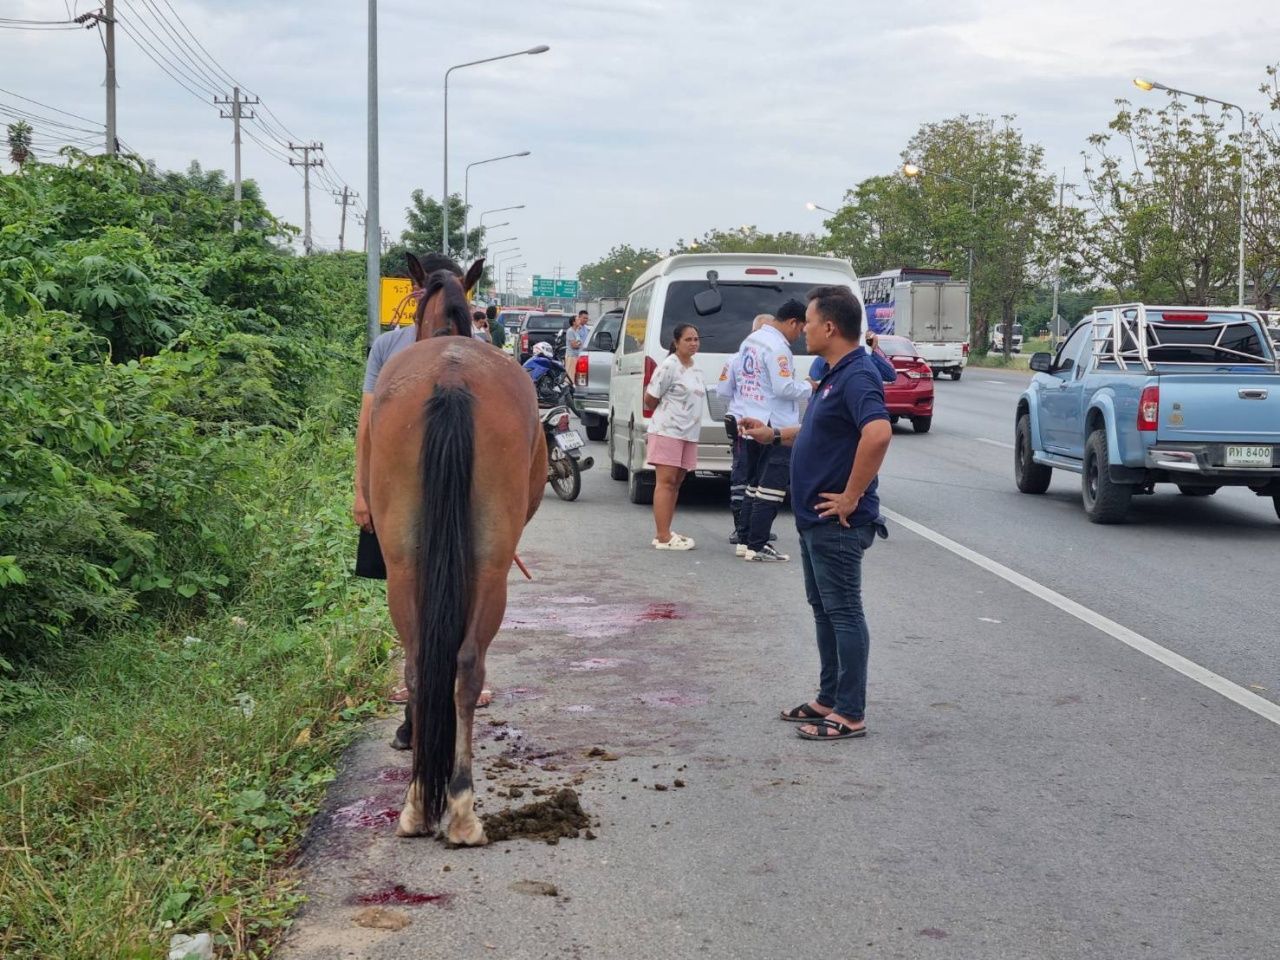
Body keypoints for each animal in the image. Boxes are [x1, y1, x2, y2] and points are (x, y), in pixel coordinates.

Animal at [364, 252, 546, 844]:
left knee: (437, 662)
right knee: (451, 662)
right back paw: (445, 802)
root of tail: (451, 375)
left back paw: (437, 802)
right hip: (471, 564)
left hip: (421, 564)